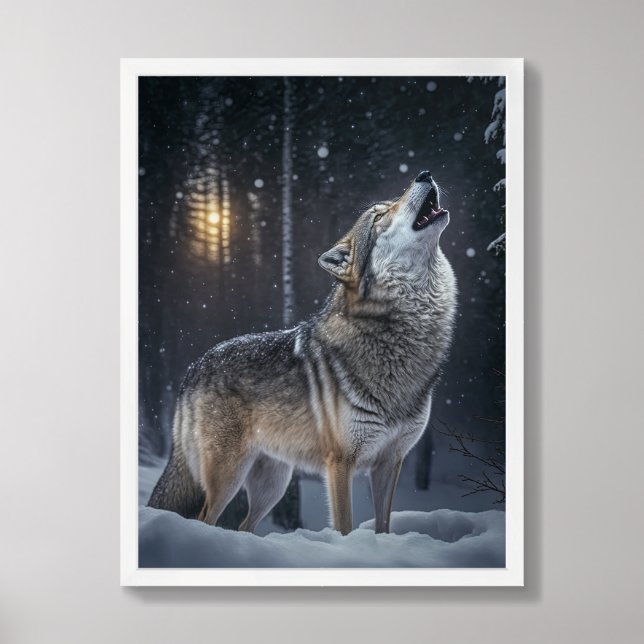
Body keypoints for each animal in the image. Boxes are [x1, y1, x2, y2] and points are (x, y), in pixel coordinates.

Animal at [148, 170, 457, 535]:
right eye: (380, 215)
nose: (424, 174)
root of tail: (193, 367)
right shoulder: (340, 463)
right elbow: (344, 527)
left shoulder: (389, 462)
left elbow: (383, 526)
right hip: (229, 477)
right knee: (205, 519)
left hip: (273, 485)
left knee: (243, 526)